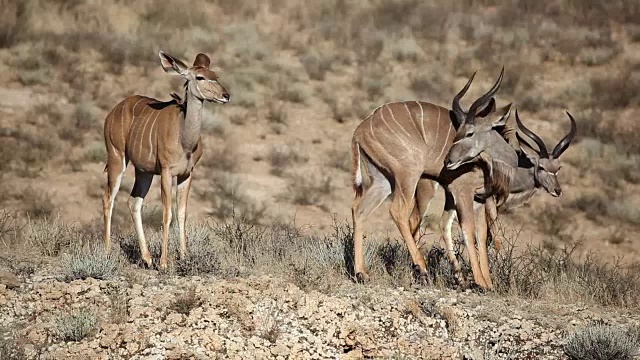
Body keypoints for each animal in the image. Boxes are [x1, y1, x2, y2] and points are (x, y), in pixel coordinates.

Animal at [100, 52, 230, 268]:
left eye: (216, 76)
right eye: (200, 77)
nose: (226, 95)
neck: (185, 139)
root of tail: (112, 113)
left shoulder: (187, 174)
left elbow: (182, 213)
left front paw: (184, 257)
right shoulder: (167, 171)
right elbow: (167, 213)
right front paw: (164, 262)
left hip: (144, 171)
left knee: (133, 202)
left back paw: (147, 258)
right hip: (117, 156)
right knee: (108, 198)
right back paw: (108, 251)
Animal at [350, 67, 516, 286]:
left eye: (470, 132)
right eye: (463, 131)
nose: (450, 160)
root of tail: (360, 130)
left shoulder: (480, 199)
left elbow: (480, 235)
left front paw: (487, 283)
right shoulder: (462, 192)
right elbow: (467, 230)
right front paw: (479, 282)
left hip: (383, 181)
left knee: (359, 210)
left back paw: (362, 273)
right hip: (408, 175)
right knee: (398, 211)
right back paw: (422, 269)